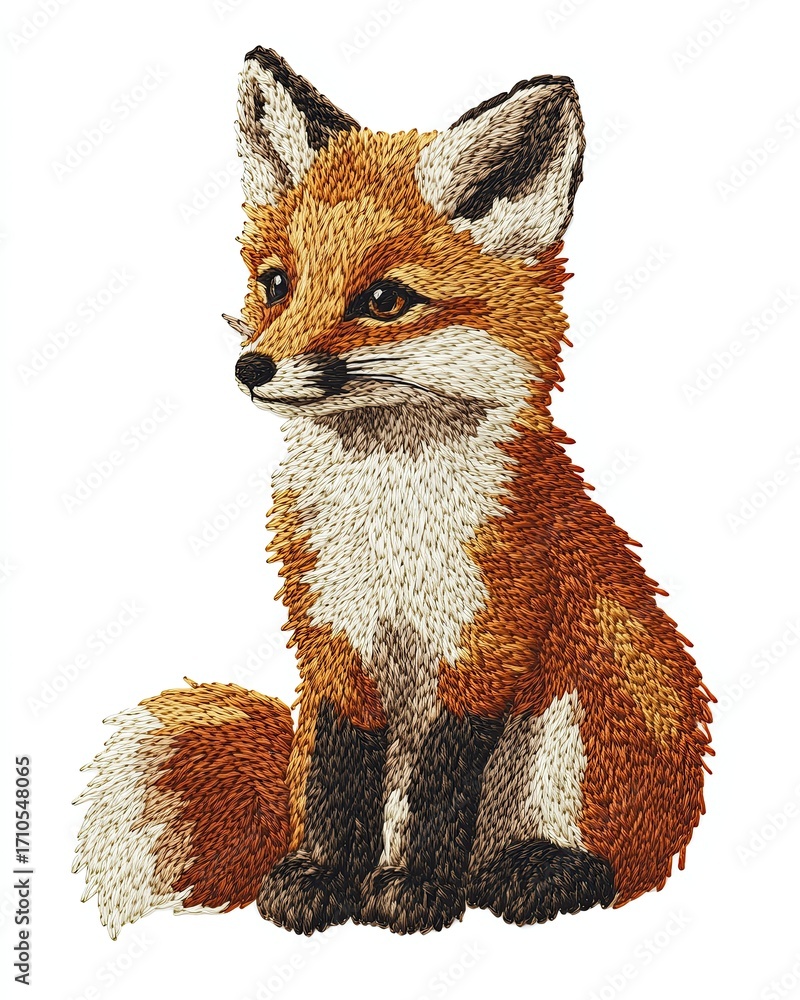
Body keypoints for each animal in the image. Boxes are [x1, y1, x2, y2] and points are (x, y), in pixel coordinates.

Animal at [74, 47, 713, 939]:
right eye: (277, 283)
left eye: (384, 300)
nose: (252, 368)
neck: (391, 518)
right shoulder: (334, 636)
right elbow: (339, 779)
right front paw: (319, 878)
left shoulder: (487, 644)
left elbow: (440, 787)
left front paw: (414, 890)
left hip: (576, 724)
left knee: (608, 866)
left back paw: (530, 873)